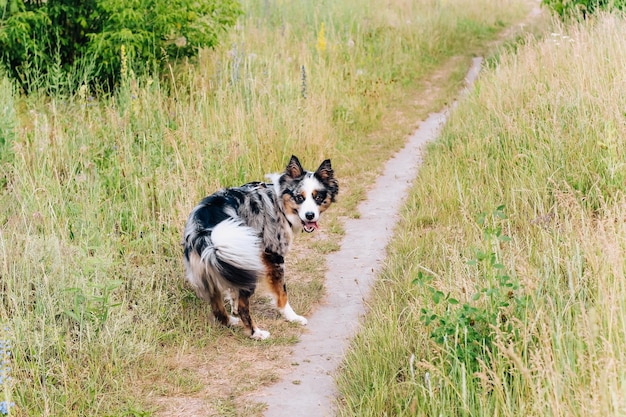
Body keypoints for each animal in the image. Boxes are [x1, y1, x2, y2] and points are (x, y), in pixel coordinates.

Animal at [182, 154, 336, 340]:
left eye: (318, 198)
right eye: (299, 197)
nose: (310, 215)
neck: (279, 201)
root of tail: (203, 230)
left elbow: (233, 292)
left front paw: (232, 306)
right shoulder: (274, 257)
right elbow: (282, 294)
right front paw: (292, 317)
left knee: (217, 307)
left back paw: (231, 321)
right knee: (243, 307)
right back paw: (256, 333)